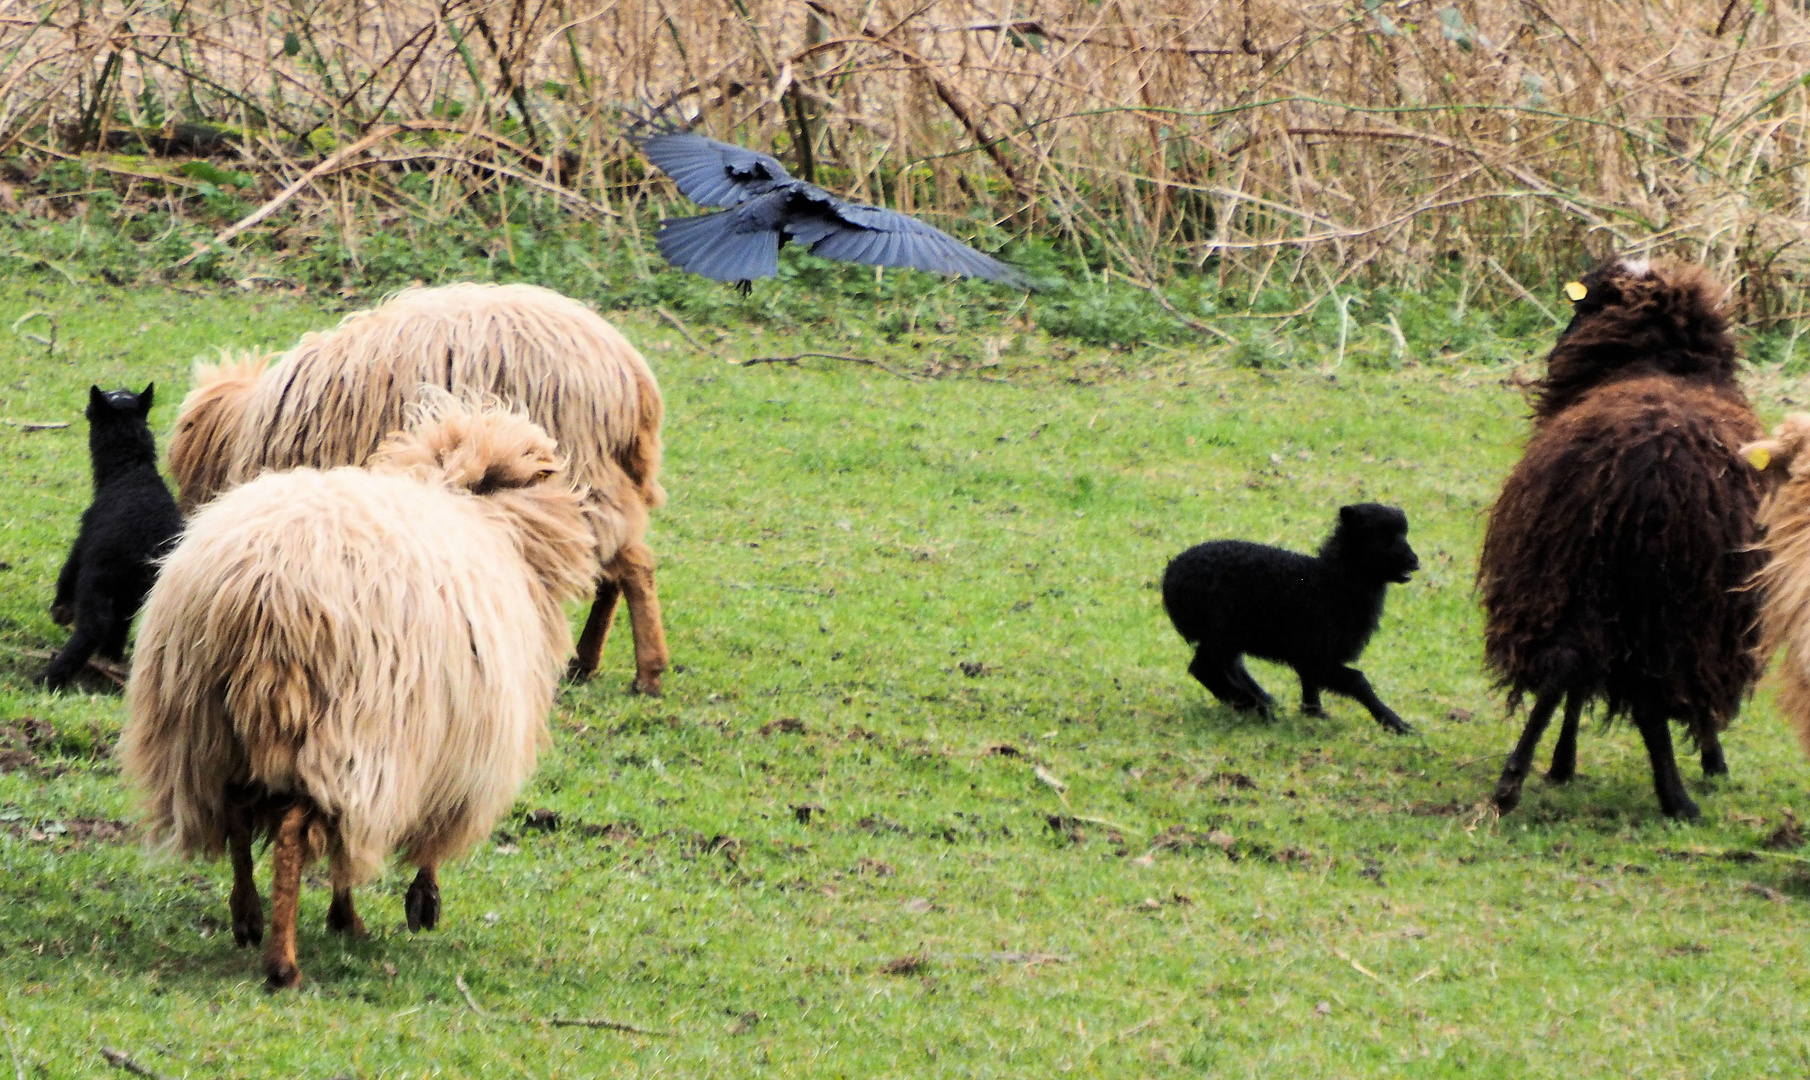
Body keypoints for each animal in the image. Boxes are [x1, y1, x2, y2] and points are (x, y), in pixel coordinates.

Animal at [37, 385, 183, 691]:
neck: (130, 470)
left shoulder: (84, 538)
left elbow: (67, 571)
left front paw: (60, 610)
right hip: (136, 588)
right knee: (120, 623)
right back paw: (111, 660)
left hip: (98, 579)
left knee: (94, 625)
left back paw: (49, 677)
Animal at [122, 394, 600, 984]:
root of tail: (260, 592)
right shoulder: (451, 753)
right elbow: (416, 839)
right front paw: (415, 901)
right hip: (348, 732)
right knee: (298, 832)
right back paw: (282, 962)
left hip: (200, 727)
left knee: (233, 809)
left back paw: (247, 916)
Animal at [164, 282, 666, 691]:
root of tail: (634, 379)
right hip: (603, 482)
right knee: (617, 568)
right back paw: (587, 662)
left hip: (584, 475)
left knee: (633, 566)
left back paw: (648, 674)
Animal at [1165, 502, 1419, 727]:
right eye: (1381, 537)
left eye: (1403, 533)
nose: (1414, 561)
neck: (1330, 582)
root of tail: (1170, 576)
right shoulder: (1319, 653)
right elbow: (1358, 681)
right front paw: (1396, 724)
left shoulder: (1310, 652)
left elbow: (1310, 683)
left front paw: (1314, 714)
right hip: (1222, 629)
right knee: (1203, 668)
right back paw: (1257, 708)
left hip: (1226, 634)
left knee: (1227, 665)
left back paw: (1260, 700)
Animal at [1476, 258, 1759, 817]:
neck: (1663, 367)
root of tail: (1645, 473)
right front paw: (1713, 759)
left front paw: (1562, 763)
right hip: (1665, 602)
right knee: (1647, 694)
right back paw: (1676, 797)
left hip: (1573, 572)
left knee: (1567, 663)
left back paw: (1514, 780)